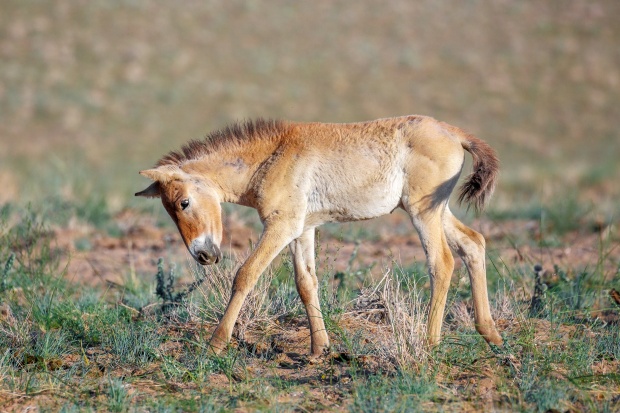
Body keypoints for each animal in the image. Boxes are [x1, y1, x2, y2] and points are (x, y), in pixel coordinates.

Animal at [137, 115, 504, 354]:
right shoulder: (303, 230)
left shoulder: (281, 226)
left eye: (183, 202)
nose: (203, 255)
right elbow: (306, 283)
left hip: (422, 213)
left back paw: (430, 345)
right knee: (473, 243)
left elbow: (246, 274)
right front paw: (319, 348)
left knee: (442, 262)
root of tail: (454, 133)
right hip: (437, 211)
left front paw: (215, 343)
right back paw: (491, 335)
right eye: (169, 210)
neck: (272, 155)